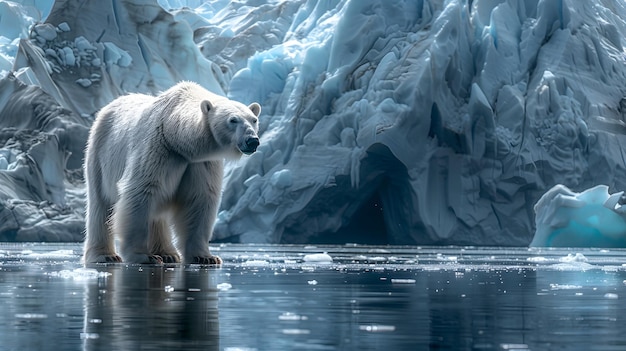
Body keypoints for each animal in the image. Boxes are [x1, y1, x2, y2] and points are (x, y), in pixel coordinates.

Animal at [83, 82, 258, 264]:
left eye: (254, 119)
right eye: (233, 120)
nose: (252, 140)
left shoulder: (201, 162)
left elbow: (200, 198)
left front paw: (206, 257)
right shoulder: (158, 148)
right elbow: (141, 190)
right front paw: (144, 256)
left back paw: (168, 254)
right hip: (100, 154)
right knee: (100, 205)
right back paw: (105, 255)